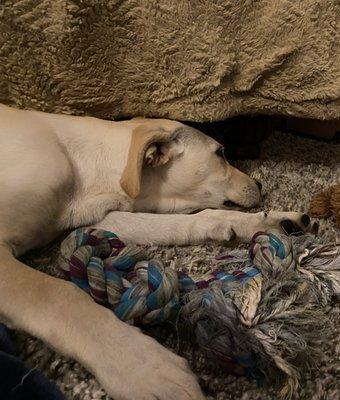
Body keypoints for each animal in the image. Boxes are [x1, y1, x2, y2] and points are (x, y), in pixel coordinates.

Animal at [0, 105, 310, 400]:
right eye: (220, 153)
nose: (260, 184)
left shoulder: (100, 219)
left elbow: (189, 220)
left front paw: (269, 222)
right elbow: (58, 294)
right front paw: (142, 365)